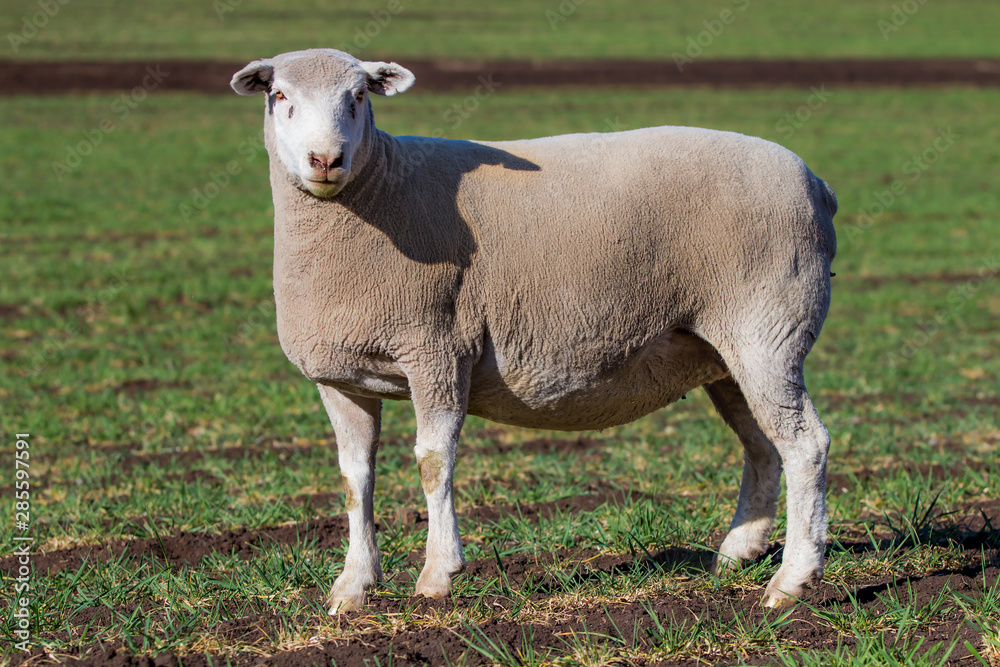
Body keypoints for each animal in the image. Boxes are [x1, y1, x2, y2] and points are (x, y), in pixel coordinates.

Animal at [230, 48, 838, 614]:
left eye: (358, 95)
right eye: (279, 96)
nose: (325, 159)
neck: (380, 187)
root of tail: (815, 182)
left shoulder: (438, 348)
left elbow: (432, 460)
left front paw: (437, 575)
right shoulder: (342, 378)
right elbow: (354, 478)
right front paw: (352, 586)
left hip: (767, 325)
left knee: (804, 445)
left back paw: (791, 580)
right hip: (723, 349)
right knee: (763, 445)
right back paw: (739, 551)